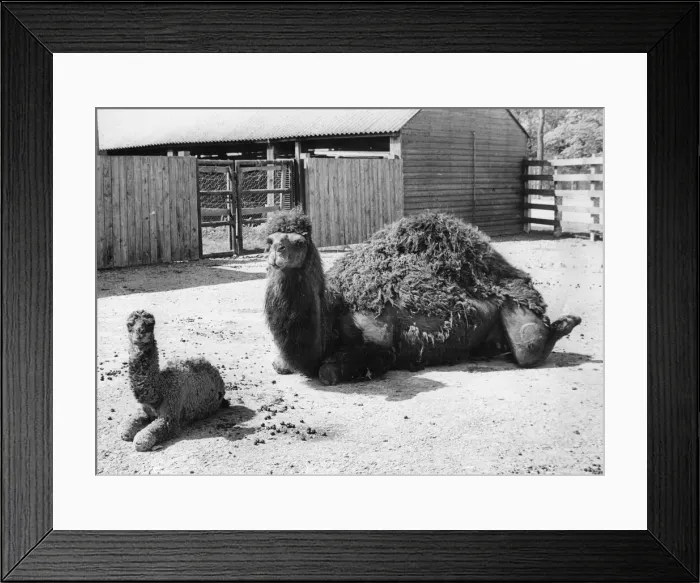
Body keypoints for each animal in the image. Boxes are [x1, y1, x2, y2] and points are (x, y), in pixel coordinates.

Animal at [119, 310, 229, 451]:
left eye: (151, 324)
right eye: (129, 324)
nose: (140, 333)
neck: (160, 390)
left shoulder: (171, 416)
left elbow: (141, 440)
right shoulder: (145, 410)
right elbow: (125, 429)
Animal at [263, 209, 581, 386]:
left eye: (299, 242)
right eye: (271, 239)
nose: (278, 252)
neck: (333, 311)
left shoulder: (379, 342)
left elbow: (328, 371)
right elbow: (279, 364)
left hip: (516, 307)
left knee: (529, 346)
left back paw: (568, 322)